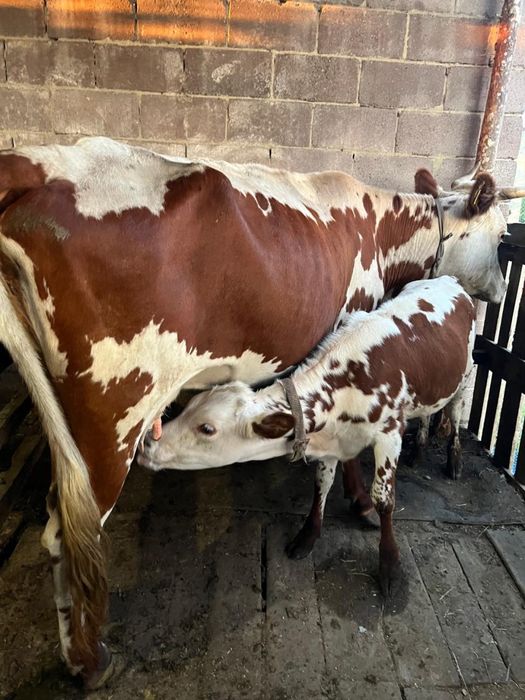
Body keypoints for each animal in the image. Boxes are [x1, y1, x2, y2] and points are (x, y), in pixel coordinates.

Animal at [138, 276, 476, 596]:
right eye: (188, 407)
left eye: (207, 428)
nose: (148, 442)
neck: (349, 381)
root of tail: (450, 280)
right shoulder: (330, 440)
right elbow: (321, 484)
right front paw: (307, 536)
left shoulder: (389, 434)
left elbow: (384, 500)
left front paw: (390, 565)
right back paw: (419, 450)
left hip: (466, 373)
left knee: (455, 408)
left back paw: (455, 461)